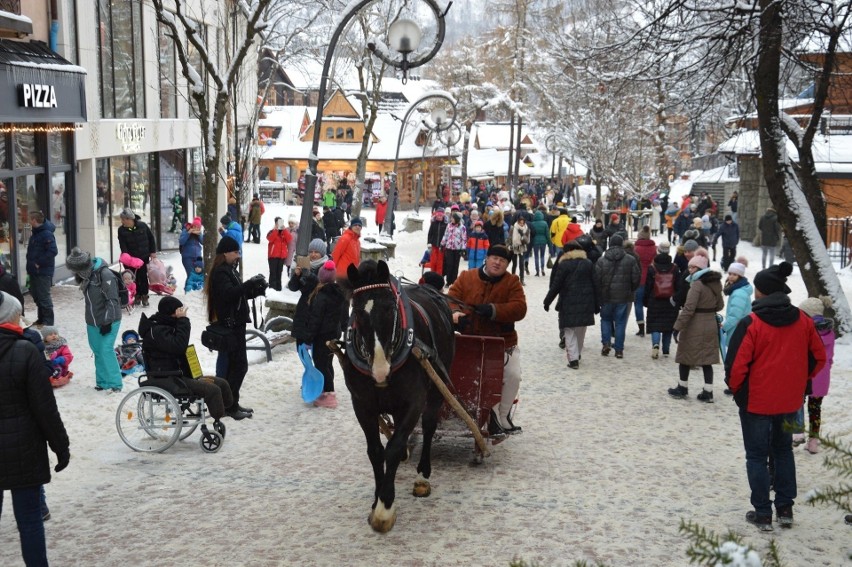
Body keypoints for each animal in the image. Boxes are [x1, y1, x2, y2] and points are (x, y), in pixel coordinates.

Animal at [342, 260, 456, 536]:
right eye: (357, 311)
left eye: (390, 308)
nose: (380, 369)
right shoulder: (362, 405)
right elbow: (375, 451)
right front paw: (376, 500)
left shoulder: (413, 402)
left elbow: (391, 449)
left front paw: (385, 508)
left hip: (437, 385)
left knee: (429, 426)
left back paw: (423, 476)